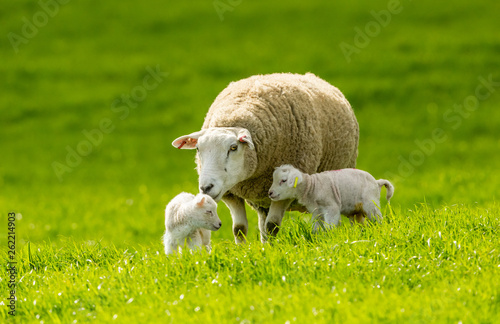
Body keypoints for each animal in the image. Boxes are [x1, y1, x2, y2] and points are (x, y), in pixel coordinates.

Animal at [173, 72, 360, 242]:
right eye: (198, 148)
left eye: (233, 148)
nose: (206, 187)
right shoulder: (231, 194)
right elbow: (239, 229)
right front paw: (247, 251)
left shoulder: (286, 191)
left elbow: (272, 226)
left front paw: (272, 250)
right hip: (265, 200)